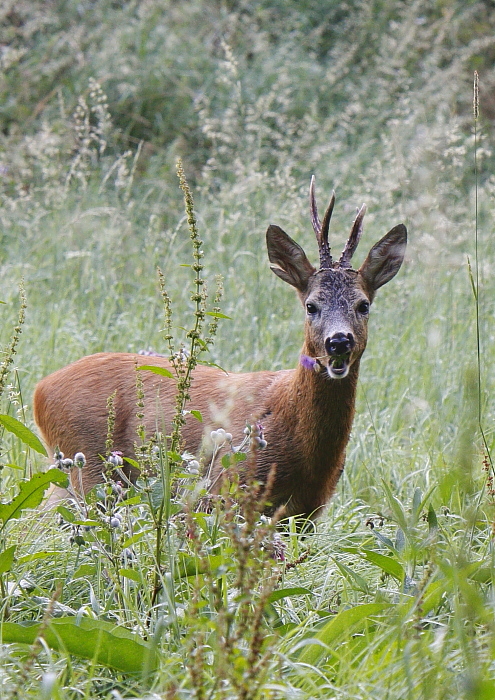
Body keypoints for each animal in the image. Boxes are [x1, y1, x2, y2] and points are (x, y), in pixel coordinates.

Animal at [34, 179, 406, 520]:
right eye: (311, 306)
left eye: (363, 305)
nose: (339, 341)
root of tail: (41, 388)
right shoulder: (223, 487)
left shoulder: (306, 512)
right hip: (87, 468)